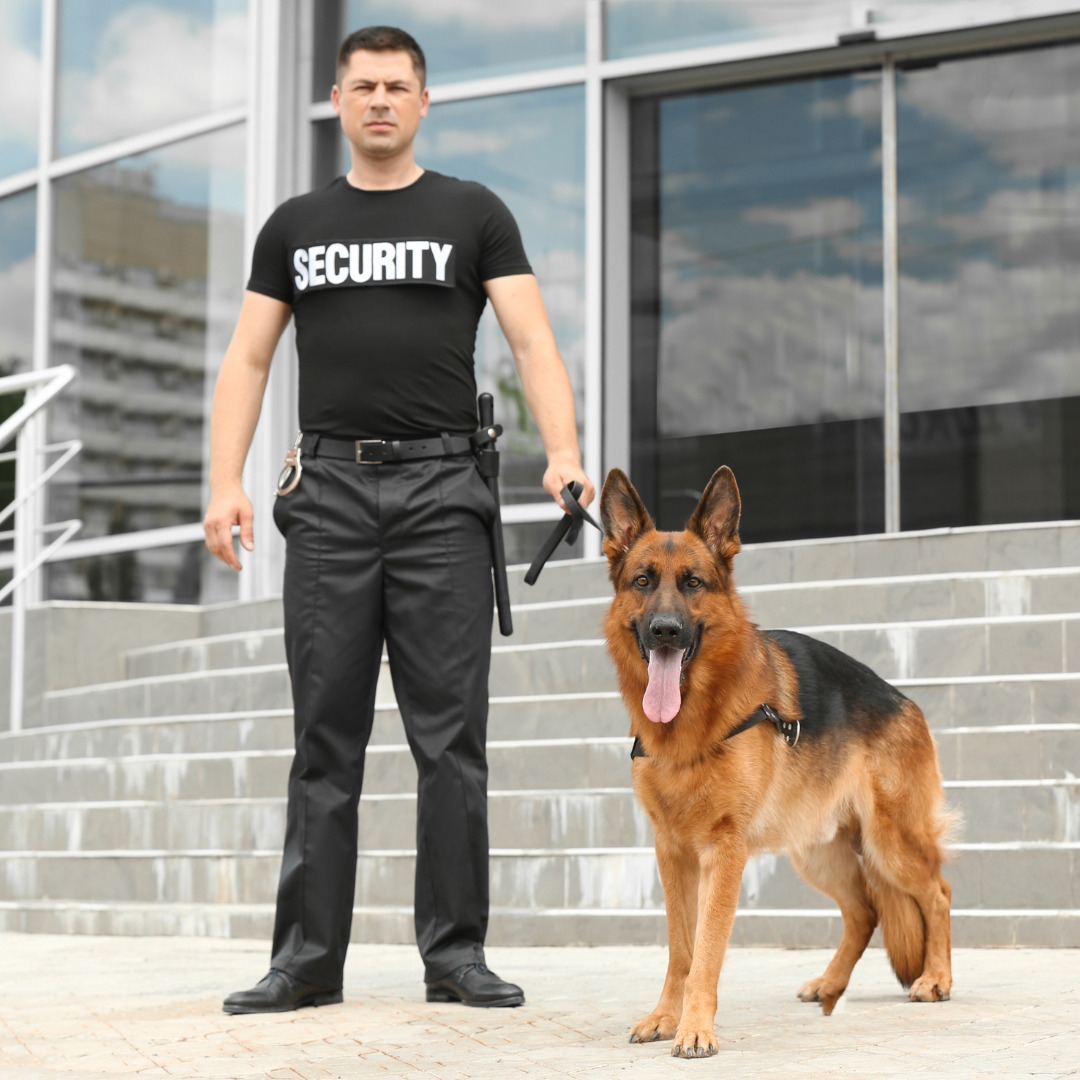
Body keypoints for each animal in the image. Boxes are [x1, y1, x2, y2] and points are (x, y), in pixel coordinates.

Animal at [600, 465, 954, 1059]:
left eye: (693, 583)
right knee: (866, 910)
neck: (693, 724)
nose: (665, 630)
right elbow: (680, 948)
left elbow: (707, 948)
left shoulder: (725, 851)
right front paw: (666, 1016)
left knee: (936, 893)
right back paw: (831, 984)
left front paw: (696, 1028)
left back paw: (937, 978)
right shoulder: (672, 853)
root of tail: (903, 700)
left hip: (891, 842)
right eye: (643, 582)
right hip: (817, 853)